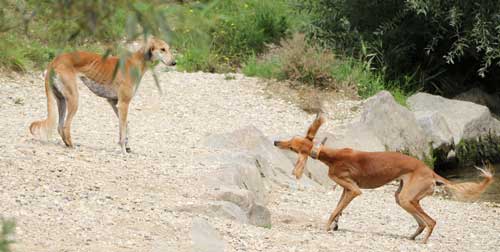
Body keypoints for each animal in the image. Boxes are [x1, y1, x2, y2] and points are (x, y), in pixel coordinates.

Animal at [30, 36, 176, 153]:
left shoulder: (114, 103)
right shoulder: (123, 104)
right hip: (73, 99)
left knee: (60, 127)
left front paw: (127, 146)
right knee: (65, 126)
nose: (174, 63)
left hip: (61, 100)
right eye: (162, 49)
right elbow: (123, 128)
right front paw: (123, 150)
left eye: (169, 49)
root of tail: (55, 61)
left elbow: (125, 125)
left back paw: (67, 144)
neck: (136, 62)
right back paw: (72, 146)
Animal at [276, 114, 494, 242]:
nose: (276, 141)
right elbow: (338, 209)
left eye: (292, 147)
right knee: (422, 222)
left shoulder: (354, 190)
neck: (330, 156)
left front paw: (327, 226)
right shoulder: (347, 189)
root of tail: (430, 171)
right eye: (292, 139)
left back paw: (423, 242)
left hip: (407, 198)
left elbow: (334, 210)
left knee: (431, 222)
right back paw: (412, 237)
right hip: (403, 197)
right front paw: (335, 225)